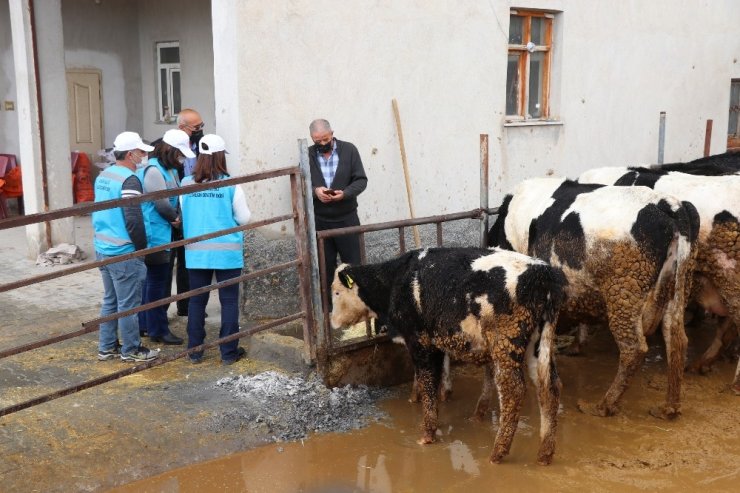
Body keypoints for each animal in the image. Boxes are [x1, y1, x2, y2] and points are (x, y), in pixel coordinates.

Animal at [330, 248, 568, 464]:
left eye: (336, 293)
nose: (331, 321)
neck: (396, 280)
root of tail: (543, 272)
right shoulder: (435, 340)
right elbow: (433, 376)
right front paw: (420, 401)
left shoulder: (419, 340)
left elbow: (427, 381)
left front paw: (427, 433)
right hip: (538, 344)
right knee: (550, 388)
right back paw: (545, 454)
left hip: (506, 343)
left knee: (514, 391)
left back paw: (497, 454)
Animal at [488, 178, 696, 418]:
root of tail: (669, 205)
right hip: (678, 287)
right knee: (677, 338)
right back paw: (669, 406)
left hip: (624, 292)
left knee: (634, 348)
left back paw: (603, 406)